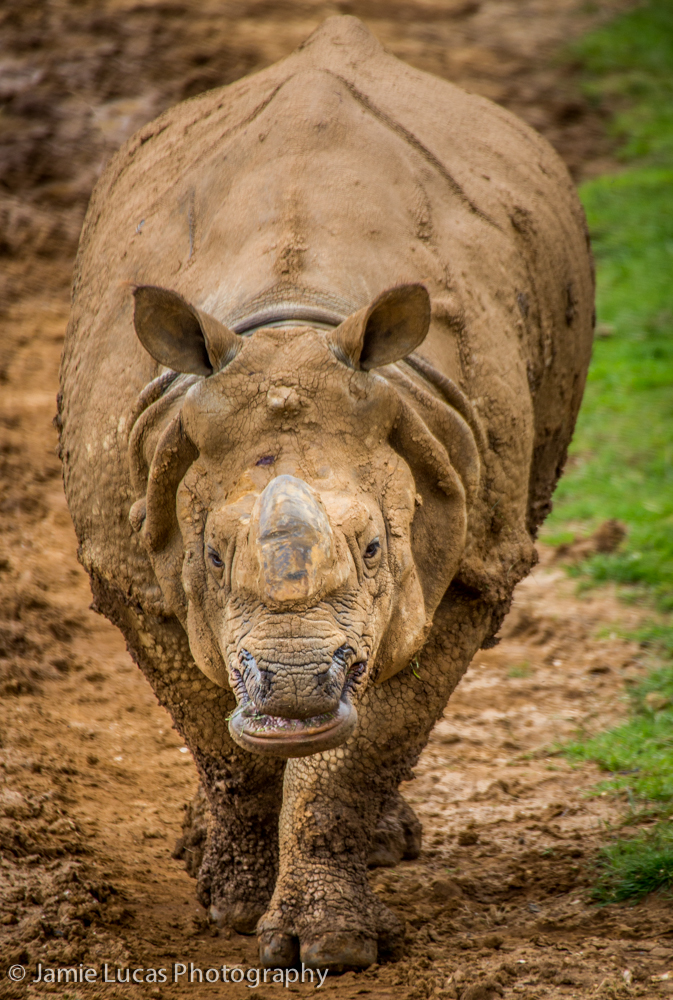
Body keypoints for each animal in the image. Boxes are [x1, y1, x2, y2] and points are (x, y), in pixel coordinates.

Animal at [59, 15, 594, 971]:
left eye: (377, 547)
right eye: (210, 554)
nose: (298, 688)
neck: (292, 326)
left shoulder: (471, 560)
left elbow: (369, 743)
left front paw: (330, 945)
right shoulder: (127, 557)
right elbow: (215, 737)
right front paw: (232, 906)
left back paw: (385, 844)